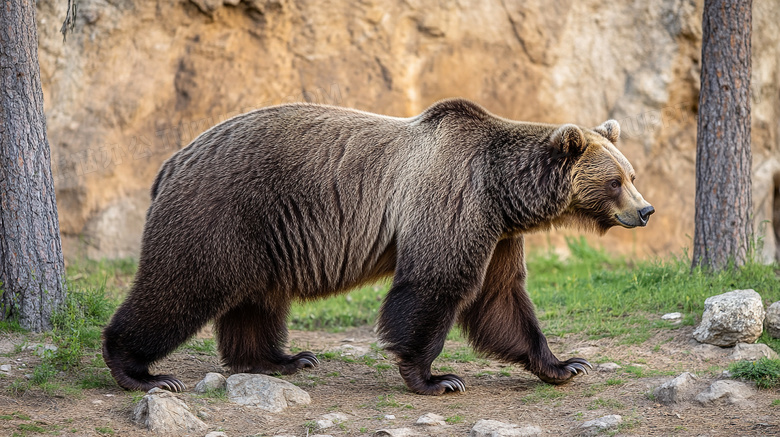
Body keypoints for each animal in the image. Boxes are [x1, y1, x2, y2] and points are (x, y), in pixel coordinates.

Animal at [102, 98, 652, 396]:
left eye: (631, 174)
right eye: (616, 181)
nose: (645, 210)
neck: (503, 191)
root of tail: (173, 161)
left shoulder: (498, 233)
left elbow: (502, 300)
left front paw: (565, 365)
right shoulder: (453, 200)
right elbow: (436, 284)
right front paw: (436, 377)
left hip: (262, 236)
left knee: (256, 301)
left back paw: (284, 359)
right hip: (221, 211)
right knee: (183, 285)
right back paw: (142, 373)